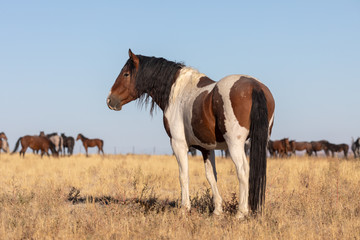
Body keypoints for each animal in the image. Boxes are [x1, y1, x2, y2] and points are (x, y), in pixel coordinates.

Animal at [107, 49, 276, 218]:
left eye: (126, 74)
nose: (110, 100)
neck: (177, 92)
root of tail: (254, 86)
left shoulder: (178, 144)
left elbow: (183, 175)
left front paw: (184, 208)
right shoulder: (207, 148)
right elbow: (211, 176)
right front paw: (217, 210)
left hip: (235, 145)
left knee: (243, 171)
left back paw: (241, 212)